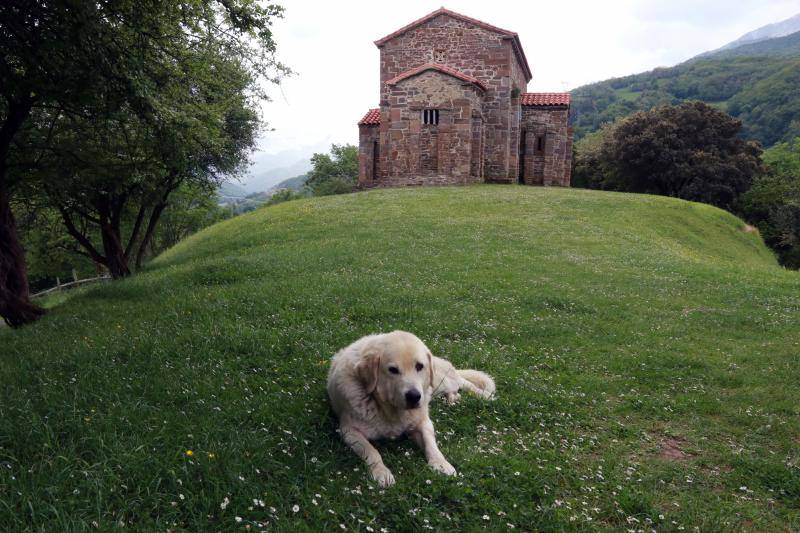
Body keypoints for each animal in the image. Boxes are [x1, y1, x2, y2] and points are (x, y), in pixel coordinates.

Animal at [324, 330, 494, 488]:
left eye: (419, 366)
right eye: (393, 370)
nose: (414, 396)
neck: (390, 410)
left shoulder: (423, 422)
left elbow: (431, 444)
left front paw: (441, 463)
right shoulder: (349, 431)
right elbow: (371, 451)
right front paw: (382, 472)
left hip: (440, 382)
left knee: (463, 382)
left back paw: (484, 395)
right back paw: (454, 399)